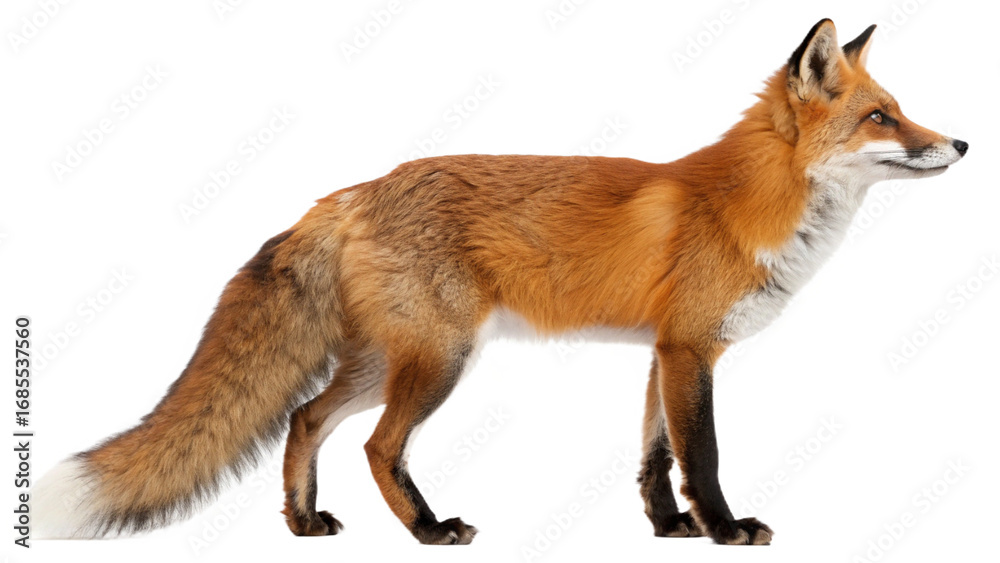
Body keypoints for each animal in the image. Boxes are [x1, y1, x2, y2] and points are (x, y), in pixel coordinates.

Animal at [34, 19, 967, 546]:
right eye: (881, 117)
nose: (960, 143)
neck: (751, 204)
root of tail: (349, 192)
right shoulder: (692, 350)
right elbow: (701, 453)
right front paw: (725, 528)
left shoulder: (662, 351)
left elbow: (653, 456)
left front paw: (669, 528)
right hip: (438, 360)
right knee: (377, 446)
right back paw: (429, 528)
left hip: (387, 361)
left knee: (304, 418)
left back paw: (302, 521)